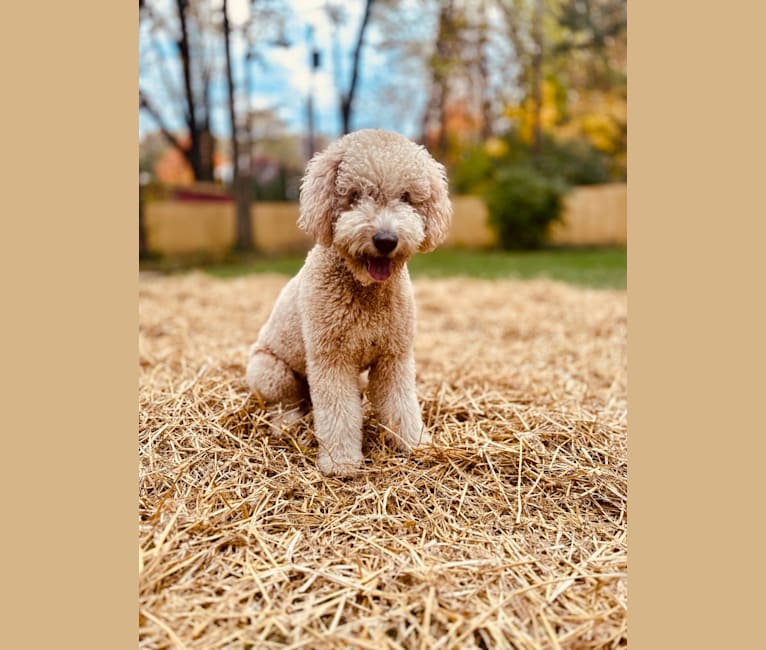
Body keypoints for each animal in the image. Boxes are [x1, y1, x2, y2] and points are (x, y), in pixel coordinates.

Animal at [246, 128, 452, 470]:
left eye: (406, 197)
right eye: (355, 195)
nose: (386, 240)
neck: (365, 290)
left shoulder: (393, 359)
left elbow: (402, 405)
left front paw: (416, 444)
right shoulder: (332, 360)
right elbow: (338, 415)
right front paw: (341, 463)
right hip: (270, 371)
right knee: (284, 403)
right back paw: (285, 424)